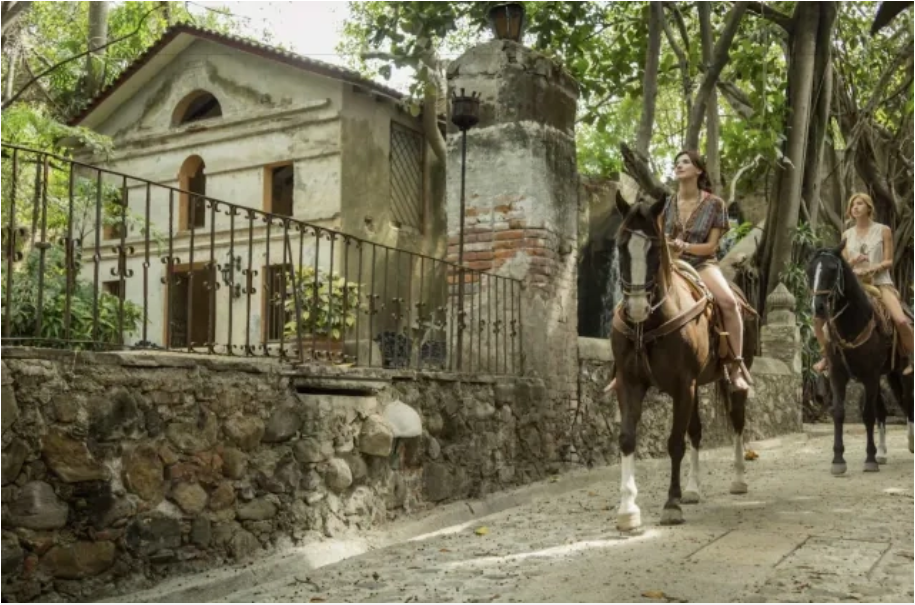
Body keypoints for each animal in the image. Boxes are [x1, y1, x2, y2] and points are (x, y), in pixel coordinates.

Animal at [608, 193, 760, 528]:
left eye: (654, 249)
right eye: (621, 245)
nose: (636, 308)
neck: (649, 324)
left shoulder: (682, 384)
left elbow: (675, 442)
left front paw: (671, 504)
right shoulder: (631, 382)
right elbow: (627, 438)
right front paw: (628, 509)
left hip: (729, 378)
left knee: (737, 422)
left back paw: (739, 479)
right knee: (697, 430)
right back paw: (693, 489)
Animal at [812, 238, 912, 474]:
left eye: (832, 269)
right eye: (811, 270)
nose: (818, 307)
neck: (852, 323)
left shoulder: (870, 374)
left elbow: (867, 414)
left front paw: (870, 459)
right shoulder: (838, 373)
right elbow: (839, 411)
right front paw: (838, 460)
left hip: (901, 372)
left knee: (908, 402)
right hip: (887, 374)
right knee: (883, 410)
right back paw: (883, 453)